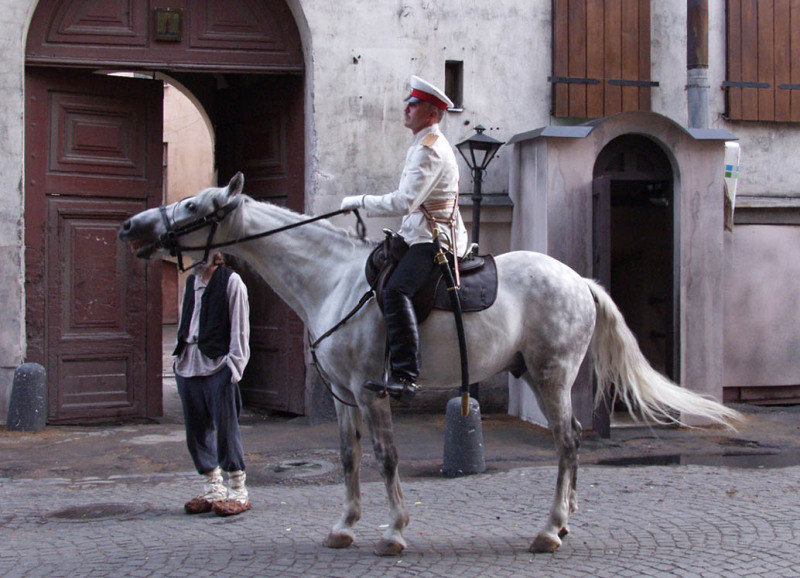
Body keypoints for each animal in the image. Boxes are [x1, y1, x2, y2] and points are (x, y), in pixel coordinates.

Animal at [117, 171, 736, 552]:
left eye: (194, 206)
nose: (130, 226)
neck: (332, 281)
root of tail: (579, 281)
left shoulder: (373, 392)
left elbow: (387, 458)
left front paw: (394, 531)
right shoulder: (344, 397)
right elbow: (348, 458)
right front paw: (344, 526)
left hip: (551, 377)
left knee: (567, 440)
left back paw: (549, 529)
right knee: (574, 441)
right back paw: (565, 522)